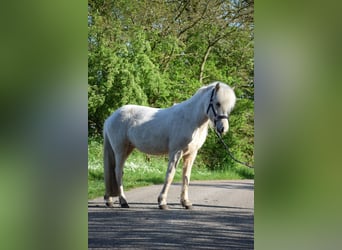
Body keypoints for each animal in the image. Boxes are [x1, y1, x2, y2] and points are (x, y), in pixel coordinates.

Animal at [102, 81, 235, 209]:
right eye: (218, 103)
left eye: (229, 107)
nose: (223, 128)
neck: (190, 119)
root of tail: (110, 118)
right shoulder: (176, 152)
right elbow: (170, 175)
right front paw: (162, 202)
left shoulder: (191, 154)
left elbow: (186, 177)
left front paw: (186, 202)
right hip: (120, 150)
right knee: (118, 172)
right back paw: (123, 201)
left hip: (128, 148)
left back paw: (110, 200)